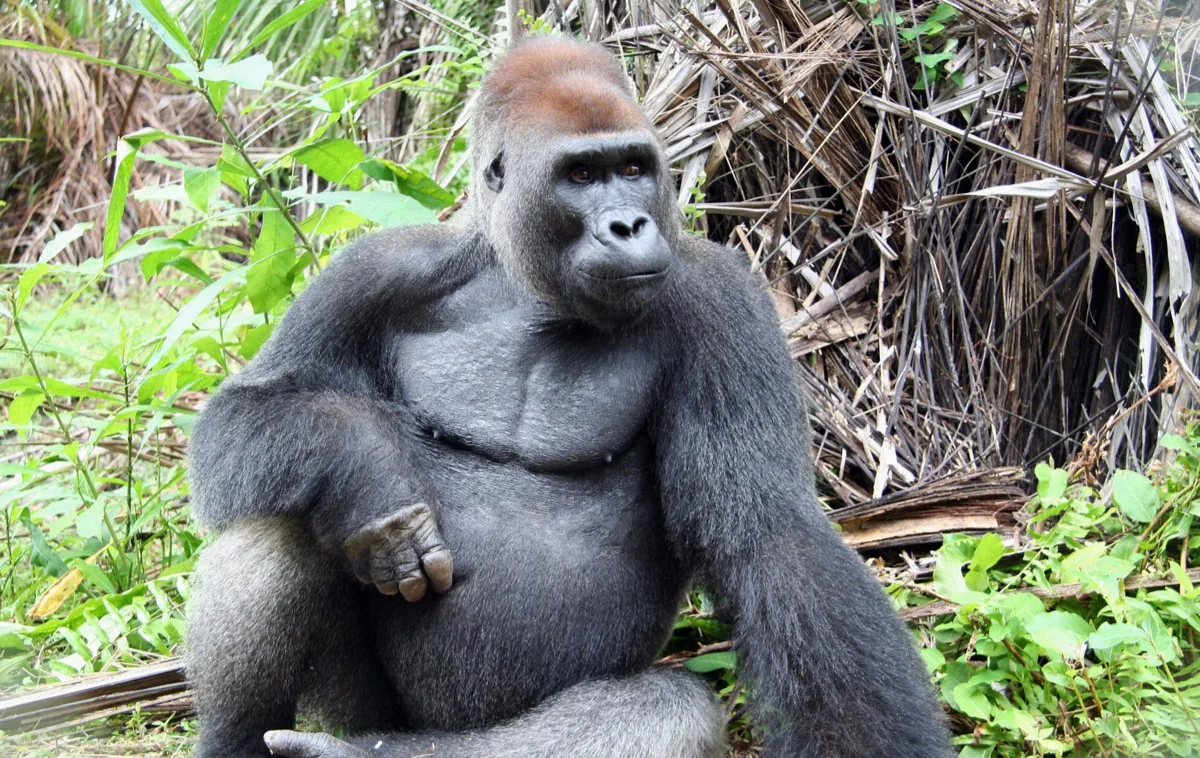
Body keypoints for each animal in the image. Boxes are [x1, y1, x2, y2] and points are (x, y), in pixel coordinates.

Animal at [185, 36, 951, 758]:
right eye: (580, 175)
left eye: (634, 169)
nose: (629, 226)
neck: (526, 285)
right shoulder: (374, 270)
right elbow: (245, 410)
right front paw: (370, 470)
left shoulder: (723, 299)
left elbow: (770, 536)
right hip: (362, 706)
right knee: (279, 514)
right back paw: (241, 737)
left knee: (665, 710)